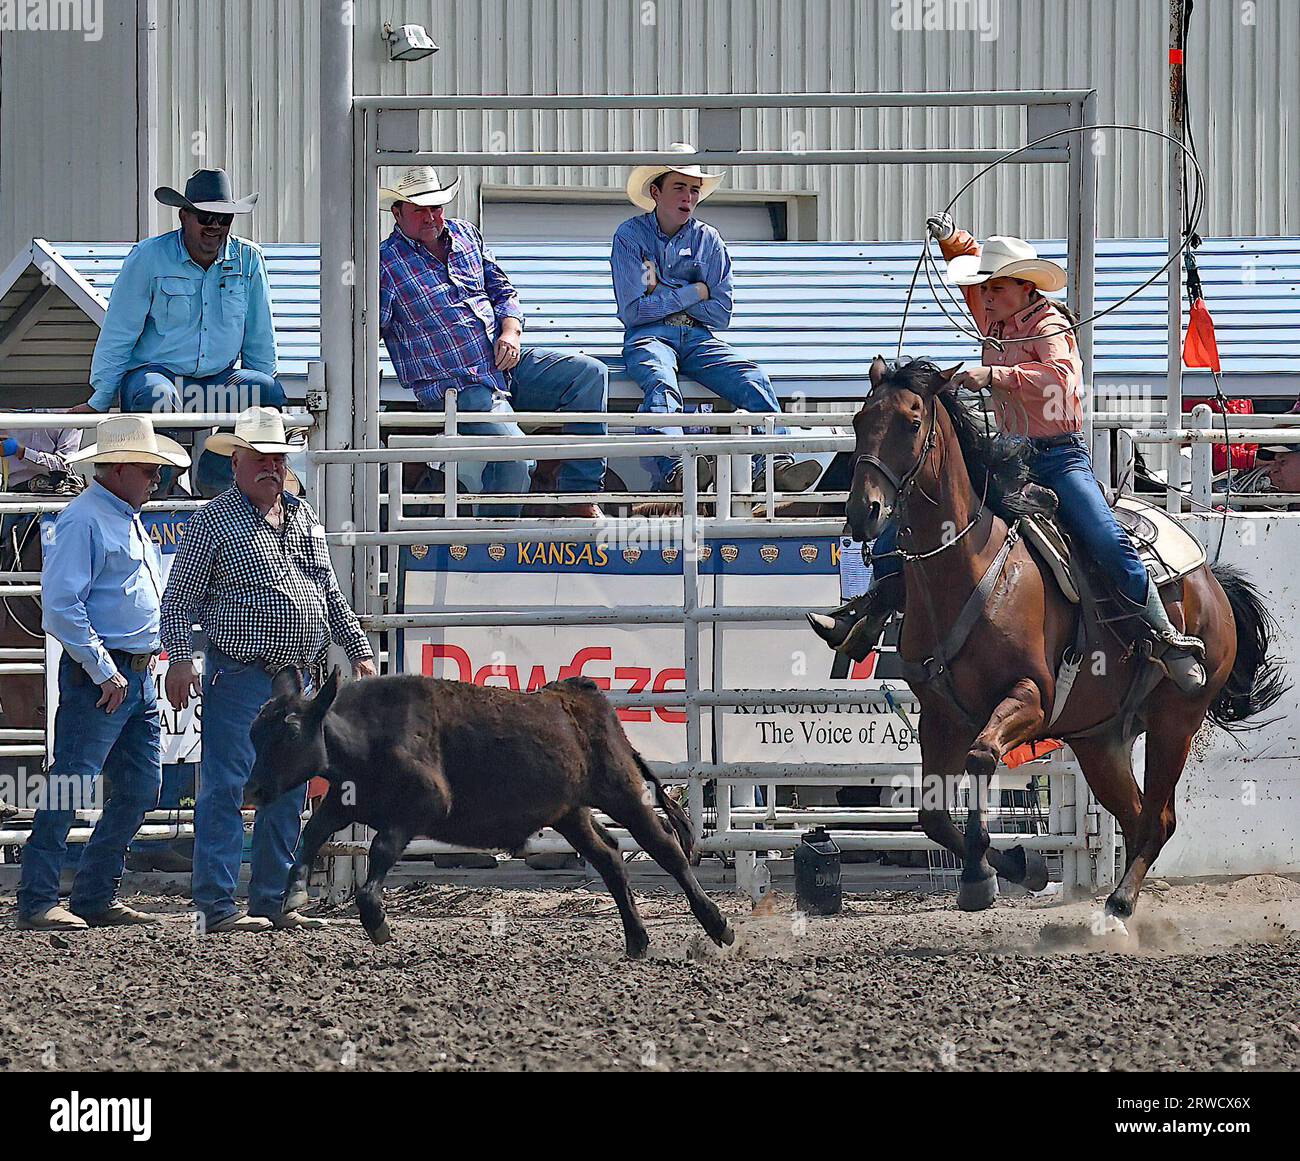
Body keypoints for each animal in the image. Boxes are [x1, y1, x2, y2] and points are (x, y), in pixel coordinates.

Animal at [842, 358, 1279, 920]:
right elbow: (932, 817)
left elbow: (981, 758)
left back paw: (1121, 900)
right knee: (1137, 816)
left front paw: (983, 872)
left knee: (1159, 818)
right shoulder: (940, 716)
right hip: (1099, 741)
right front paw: (1010, 868)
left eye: (912, 422)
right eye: (859, 420)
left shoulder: (1033, 697)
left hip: (1174, 722)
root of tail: (1211, 582)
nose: (864, 512)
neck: (970, 568)